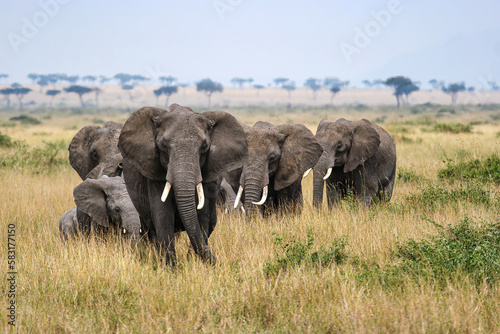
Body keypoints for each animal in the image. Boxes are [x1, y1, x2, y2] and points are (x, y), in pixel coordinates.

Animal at [117, 104, 250, 266]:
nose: (218, 262)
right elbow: (163, 214)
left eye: (204, 147)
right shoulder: (154, 171)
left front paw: (194, 263)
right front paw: (171, 267)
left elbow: (202, 214)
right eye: (164, 146)